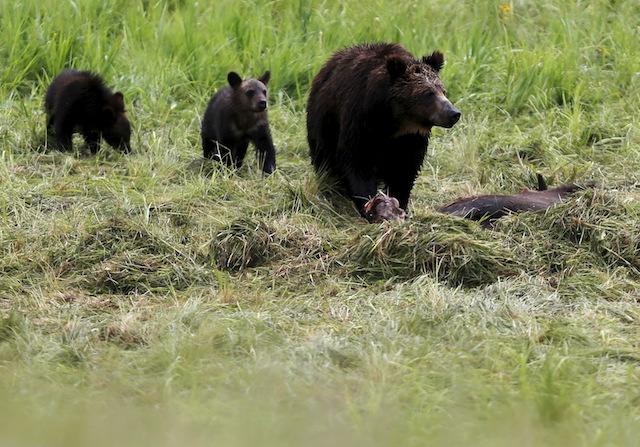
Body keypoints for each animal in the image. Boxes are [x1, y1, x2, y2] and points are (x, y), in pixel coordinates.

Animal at [306, 43, 461, 222]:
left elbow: (404, 169)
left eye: (443, 90)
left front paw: (399, 205)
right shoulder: (360, 121)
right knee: (325, 161)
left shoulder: (411, 139)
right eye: (428, 93)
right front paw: (371, 206)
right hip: (324, 124)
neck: (393, 121)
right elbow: (357, 162)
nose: (454, 113)